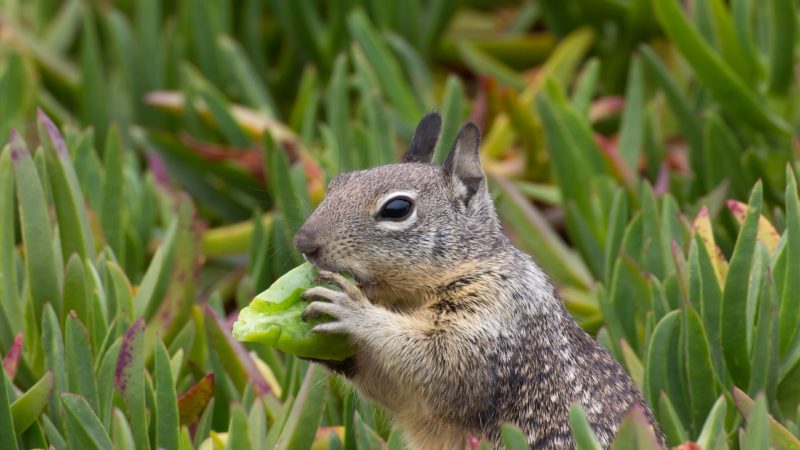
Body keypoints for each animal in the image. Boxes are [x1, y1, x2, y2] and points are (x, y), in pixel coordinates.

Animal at [292, 111, 664, 446]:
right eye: (336, 183)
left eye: (397, 209)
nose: (303, 242)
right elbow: (390, 386)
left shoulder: (494, 317)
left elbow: (443, 367)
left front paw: (351, 309)